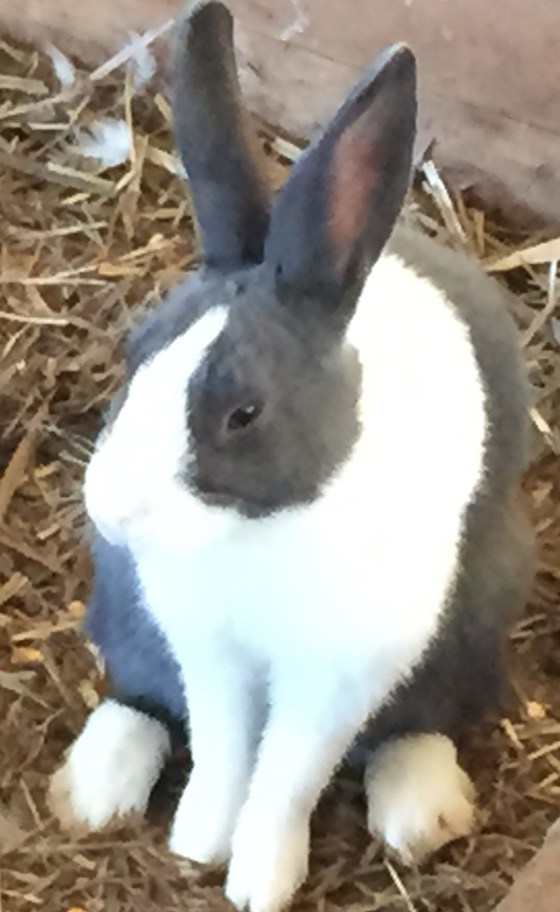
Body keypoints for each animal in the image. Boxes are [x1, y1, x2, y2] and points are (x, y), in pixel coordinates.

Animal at [48, 1, 536, 910]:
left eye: (244, 414)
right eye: (136, 352)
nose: (114, 513)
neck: (259, 534)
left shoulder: (338, 676)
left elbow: (286, 777)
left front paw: (256, 882)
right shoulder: (206, 650)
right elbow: (224, 750)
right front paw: (199, 844)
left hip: (476, 624)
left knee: (418, 723)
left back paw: (421, 811)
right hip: (124, 612)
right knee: (139, 695)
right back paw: (95, 790)